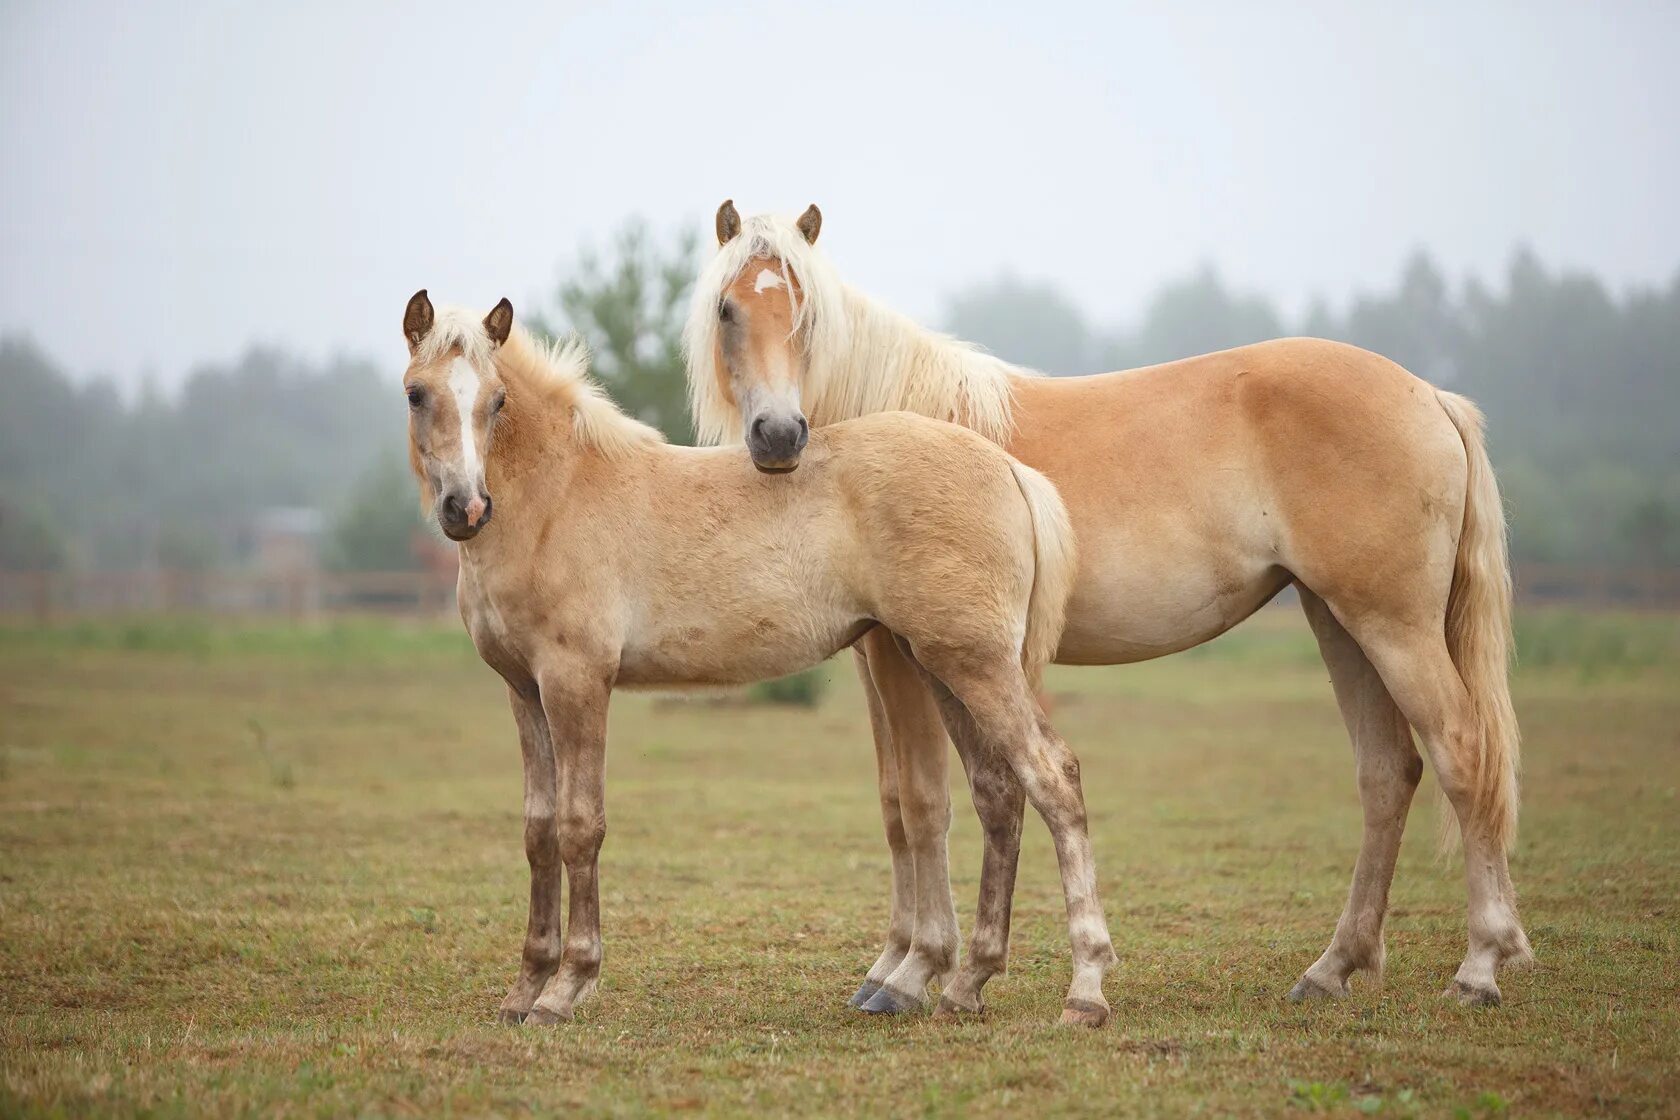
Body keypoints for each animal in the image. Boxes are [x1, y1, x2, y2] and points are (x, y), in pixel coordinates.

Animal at [398, 293, 1122, 1027]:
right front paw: (524, 990)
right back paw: (966, 983)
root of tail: (1008, 469)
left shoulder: (577, 682)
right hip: (939, 666)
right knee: (999, 792)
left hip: (978, 665)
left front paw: (565, 987)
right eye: (416, 394)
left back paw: (1085, 990)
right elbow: (539, 830)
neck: (558, 498)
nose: (466, 508)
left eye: (496, 400)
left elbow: (580, 826)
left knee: (1054, 778)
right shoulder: (525, 690)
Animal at [685, 201, 1538, 1014]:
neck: (896, 427)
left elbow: (924, 804)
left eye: (804, 310)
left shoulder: (902, 657)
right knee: (1387, 773)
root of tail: (1430, 397)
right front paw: (893, 967)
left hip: (1394, 627)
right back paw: (1331, 969)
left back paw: (1479, 968)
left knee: (1463, 754)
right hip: (1341, 623)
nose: (779, 435)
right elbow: (897, 805)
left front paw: (911, 973)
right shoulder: (878, 659)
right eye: (728, 308)